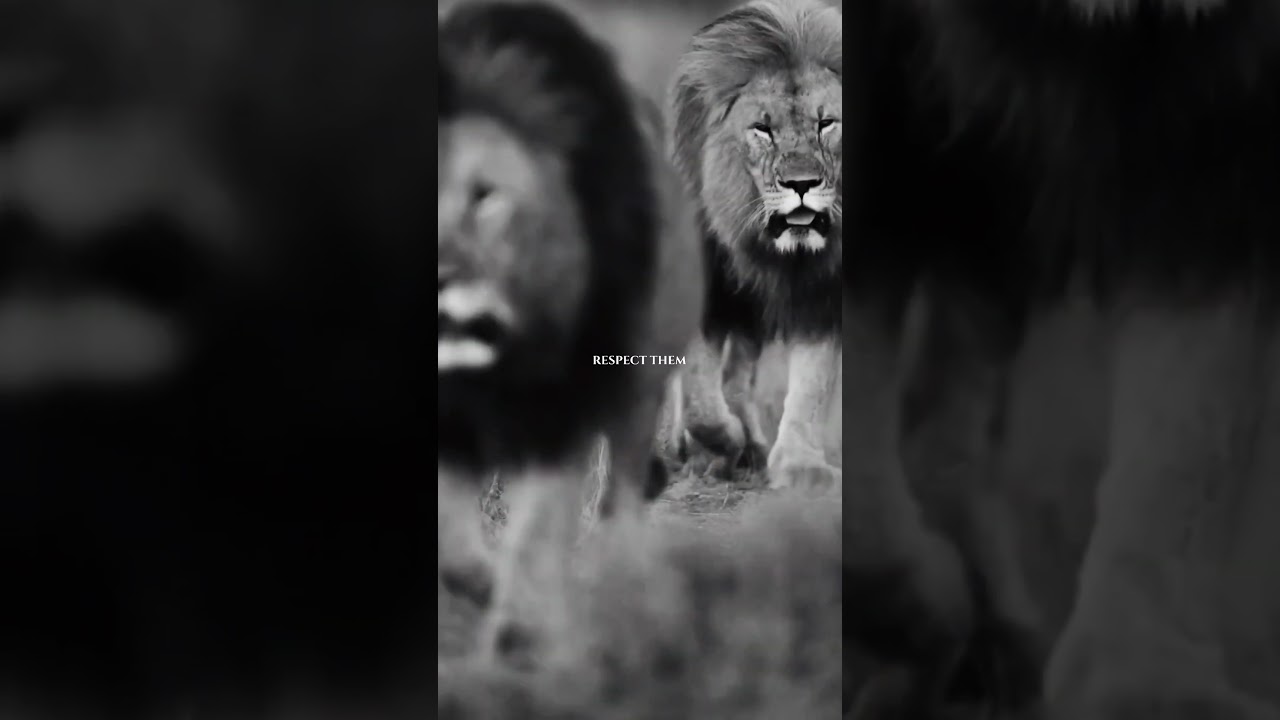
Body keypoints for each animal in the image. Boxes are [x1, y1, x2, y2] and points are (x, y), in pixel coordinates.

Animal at [437, 0, 704, 669]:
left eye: (486, 196)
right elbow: (452, 548)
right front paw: (486, 586)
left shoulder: (560, 409)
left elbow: (539, 526)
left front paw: (521, 634)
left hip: (640, 377)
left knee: (619, 495)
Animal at [667, 0, 843, 492]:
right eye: (762, 129)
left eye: (827, 123)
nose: (801, 184)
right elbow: (698, 395)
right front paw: (719, 440)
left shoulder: (822, 293)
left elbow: (811, 383)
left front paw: (799, 465)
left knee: (737, 374)